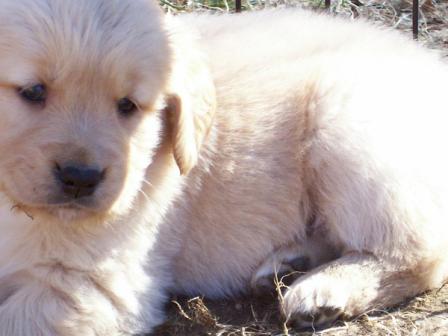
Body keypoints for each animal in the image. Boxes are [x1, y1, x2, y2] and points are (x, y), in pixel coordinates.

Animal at [0, 0, 446, 336]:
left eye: (128, 105)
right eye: (33, 91)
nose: (81, 178)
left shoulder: (91, 284)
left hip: (346, 127)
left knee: (420, 252)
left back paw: (323, 291)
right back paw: (291, 263)